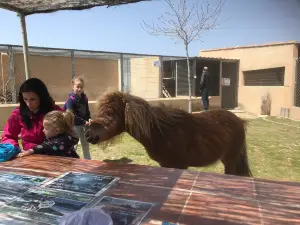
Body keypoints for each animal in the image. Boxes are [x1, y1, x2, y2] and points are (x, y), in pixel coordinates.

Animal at [85, 90, 252, 177]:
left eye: (109, 113)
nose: (88, 134)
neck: (160, 132)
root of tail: (239, 121)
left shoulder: (179, 165)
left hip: (230, 160)